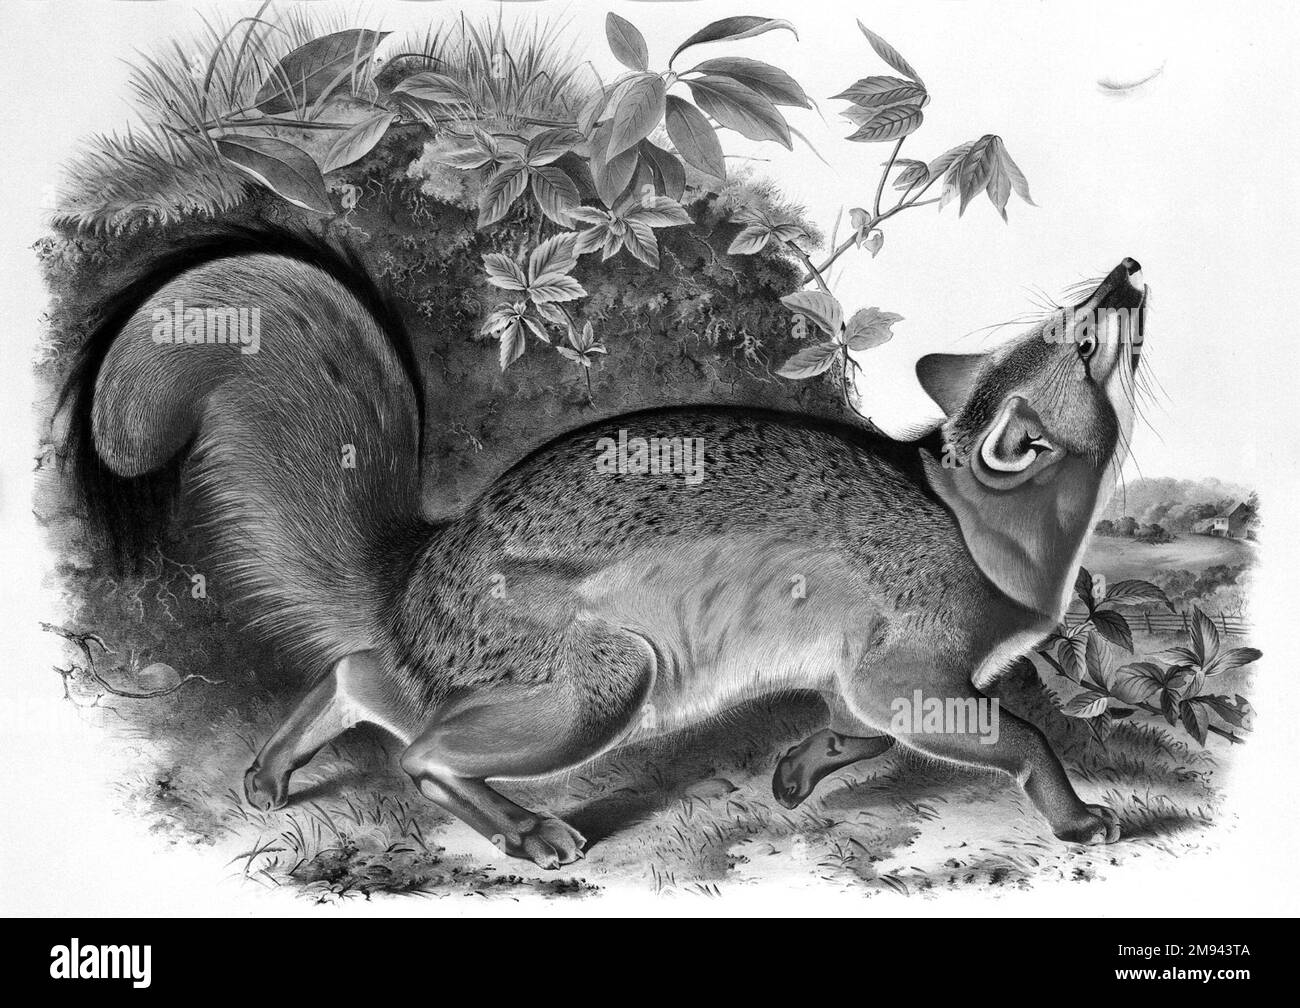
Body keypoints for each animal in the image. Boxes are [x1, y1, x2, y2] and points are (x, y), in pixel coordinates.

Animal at [61, 226, 1147, 869]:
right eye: (1083, 334)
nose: (1129, 269)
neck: (974, 517)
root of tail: (426, 565)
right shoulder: (906, 673)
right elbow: (1022, 737)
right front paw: (1074, 816)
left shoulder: (870, 676)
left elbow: (859, 730)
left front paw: (800, 771)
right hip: (605, 687)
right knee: (418, 751)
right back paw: (527, 832)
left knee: (359, 676)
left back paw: (275, 769)